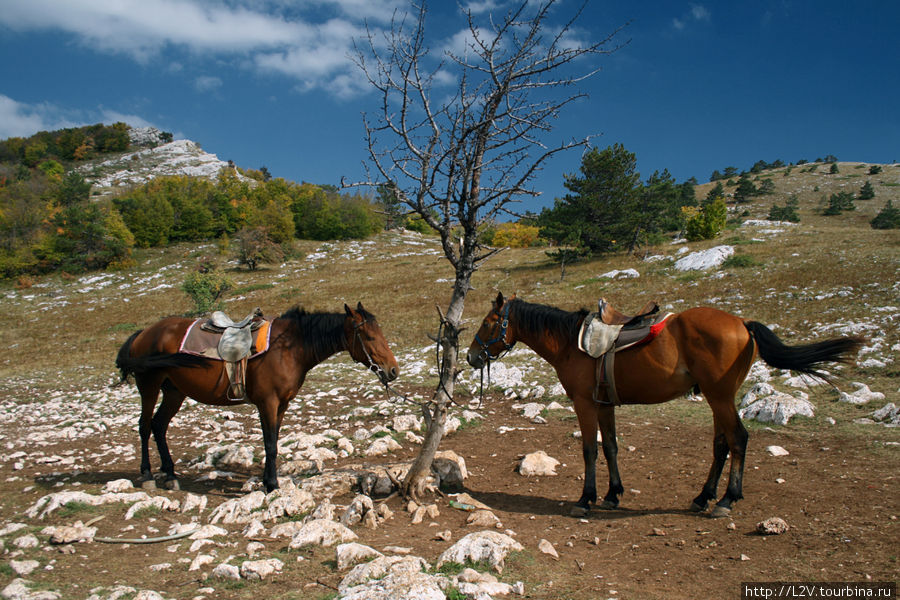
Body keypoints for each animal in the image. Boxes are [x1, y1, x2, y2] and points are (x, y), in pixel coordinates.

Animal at [116, 302, 398, 494]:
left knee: (159, 425)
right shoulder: (268, 403)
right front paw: (271, 484)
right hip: (149, 386)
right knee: (144, 426)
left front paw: (268, 481)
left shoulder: (282, 404)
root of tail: (144, 333)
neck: (291, 348)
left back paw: (170, 474)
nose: (393, 370)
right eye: (370, 336)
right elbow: (270, 444)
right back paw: (148, 474)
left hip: (174, 392)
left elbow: (273, 442)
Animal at [468, 292, 860, 516]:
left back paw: (726, 500)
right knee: (721, 444)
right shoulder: (604, 403)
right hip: (719, 398)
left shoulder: (584, 403)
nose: (472, 356)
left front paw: (586, 498)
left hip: (720, 397)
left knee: (738, 439)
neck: (570, 343)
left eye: (488, 322)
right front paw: (613, 494)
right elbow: (610, 447)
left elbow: (590, 450)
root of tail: (742, 323)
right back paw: (703, 497)